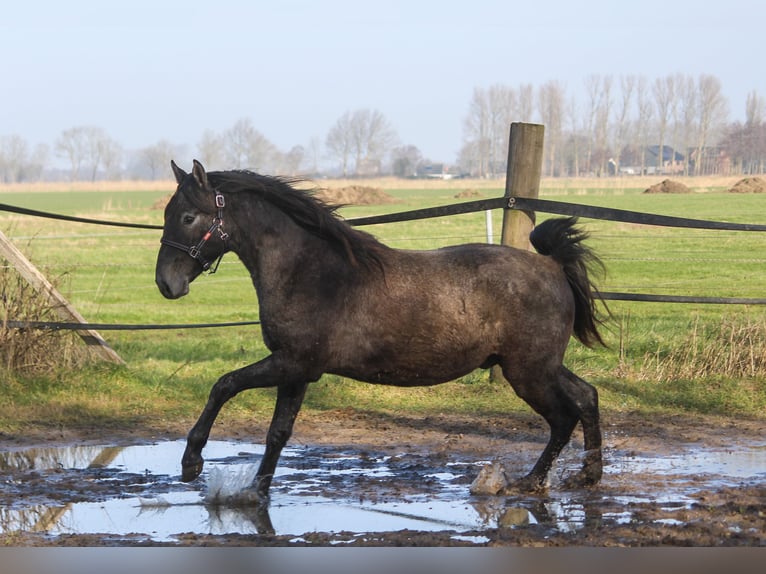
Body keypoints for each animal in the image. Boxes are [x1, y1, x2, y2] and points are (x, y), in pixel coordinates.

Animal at [156, 160, 608, 502]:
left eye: (188, 217)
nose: (166, 284)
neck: (311, 272)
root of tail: (552, 267)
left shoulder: (292, 363)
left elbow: (224, 385)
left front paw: (191, 463)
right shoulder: (297, 371)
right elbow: (277, 434)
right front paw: (257, 491)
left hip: (528, 372)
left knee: (563, 417)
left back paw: (529, 482)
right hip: (541, 366)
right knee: (587, 396)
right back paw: (587, 475)